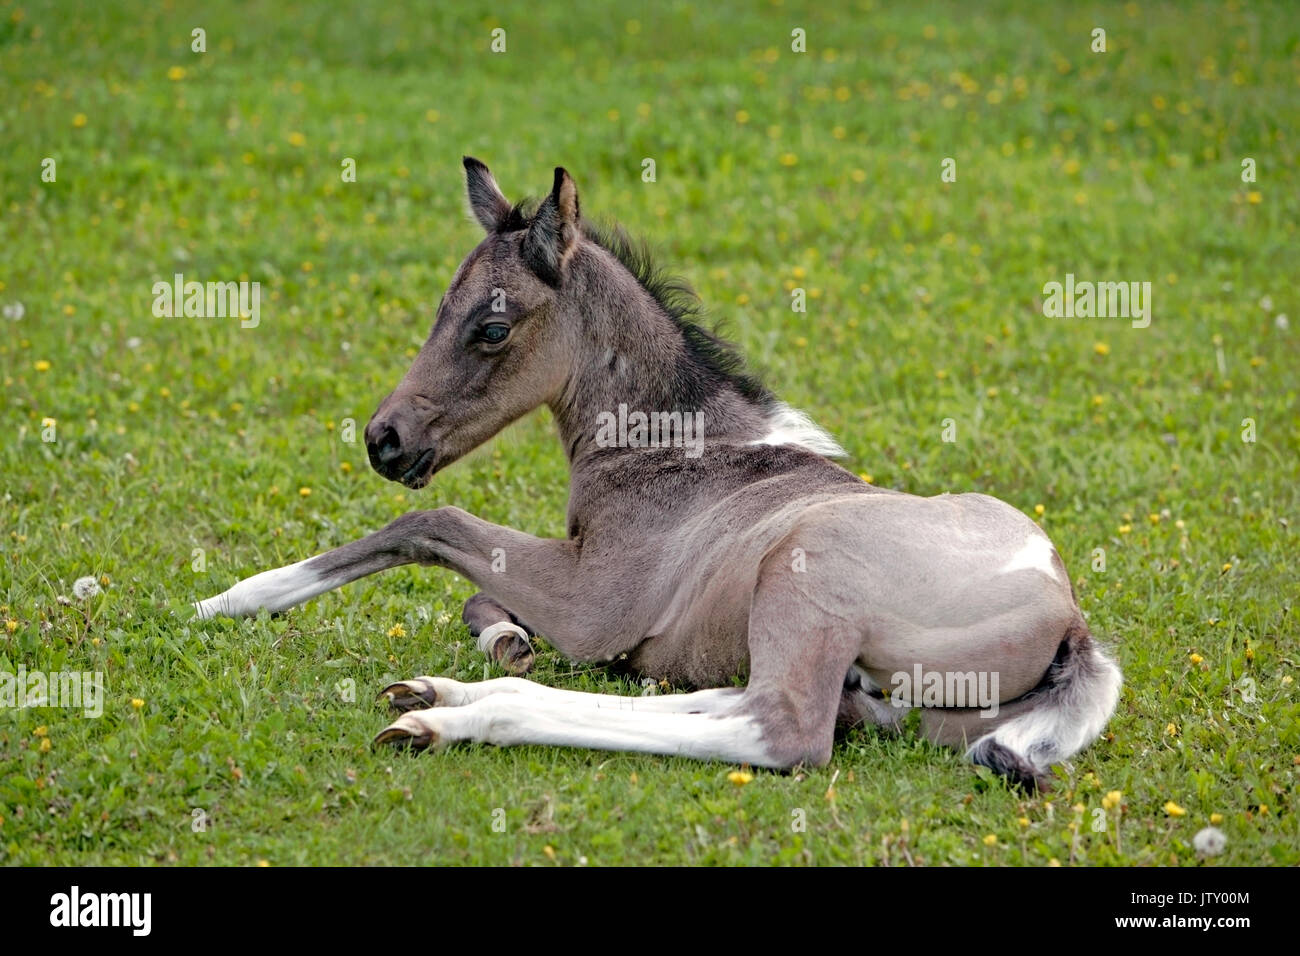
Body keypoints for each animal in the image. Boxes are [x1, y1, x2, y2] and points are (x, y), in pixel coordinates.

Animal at [197, 155, 1123, 785]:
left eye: (492, 329)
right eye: (438, 311)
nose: (383, 440)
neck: (674, 452)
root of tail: (1069, 617)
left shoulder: (593, 605)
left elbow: (429, 524)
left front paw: (230, 598)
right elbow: (473, 593)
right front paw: (503, 642)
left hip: (804, 582)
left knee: (778, 728)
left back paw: (456, 719)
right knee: (727, 700)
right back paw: (442, 694)